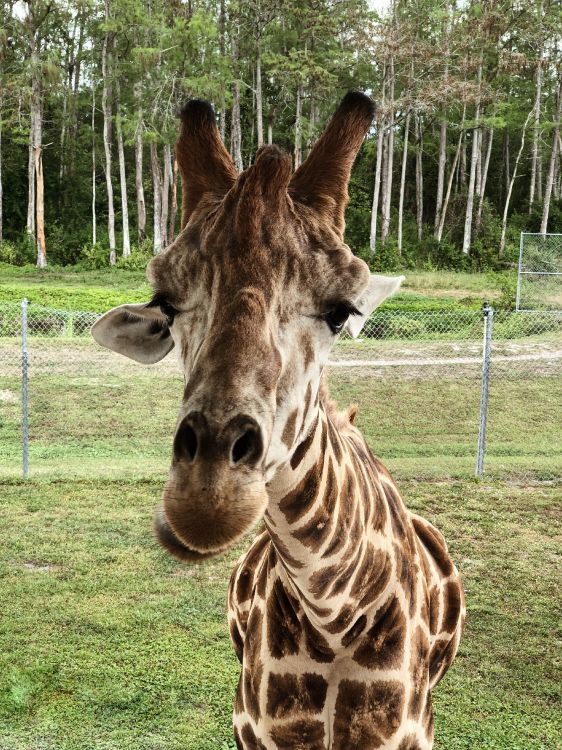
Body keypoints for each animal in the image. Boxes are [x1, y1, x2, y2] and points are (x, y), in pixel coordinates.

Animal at [92, 91, 464, 749]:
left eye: (342, 312)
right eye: (166, 304)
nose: (207, 498)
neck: (334, 614)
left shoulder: (407, 732)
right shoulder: (253, 727)